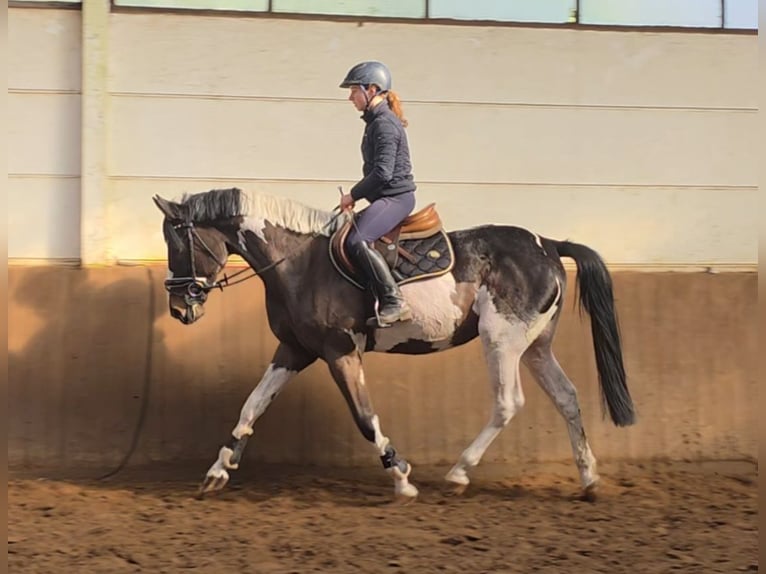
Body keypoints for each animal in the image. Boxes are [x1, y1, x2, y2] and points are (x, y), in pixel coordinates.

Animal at [153, 186, 635, 502]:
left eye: (180, 241)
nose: (178, 308)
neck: (299, 263)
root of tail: (548, 244)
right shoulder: (295, 350)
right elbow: (251, 406)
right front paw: (218, 471)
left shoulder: (340, 351)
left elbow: (365, 417)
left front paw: (401, 477)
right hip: (536, 347)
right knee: (567, 397)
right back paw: (589, 481)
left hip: (502, 341)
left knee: (507, 402)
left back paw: (459, 473)